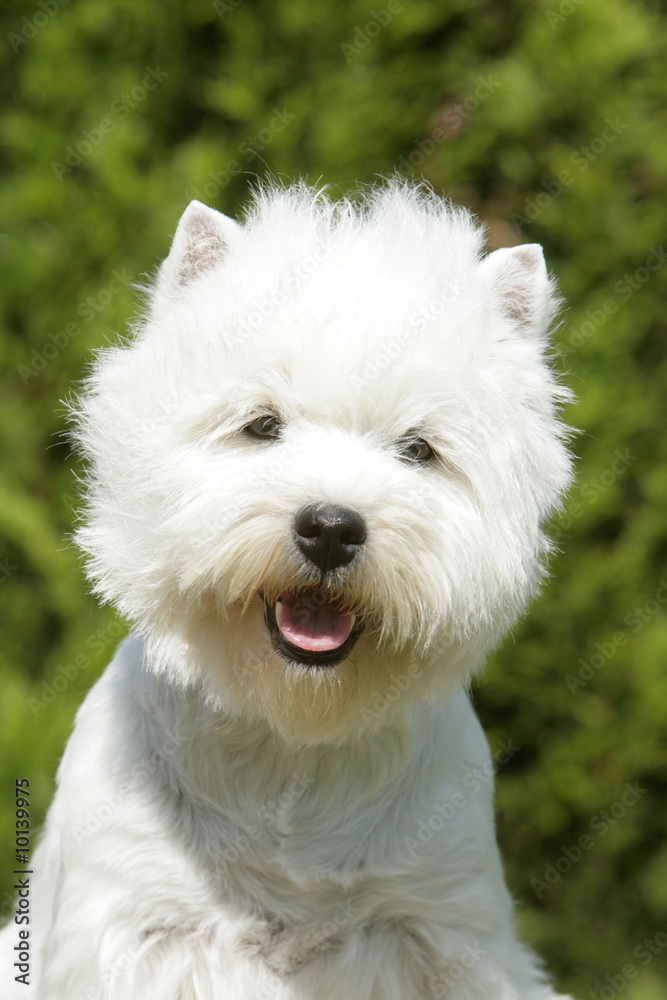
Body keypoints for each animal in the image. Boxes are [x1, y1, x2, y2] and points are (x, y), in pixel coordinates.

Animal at [0, 182, 576, 1000]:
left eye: (419, 449)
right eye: (260, 425)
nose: (331, 529)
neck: (292, 751)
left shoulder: (448, 930)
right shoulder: (129, 928)